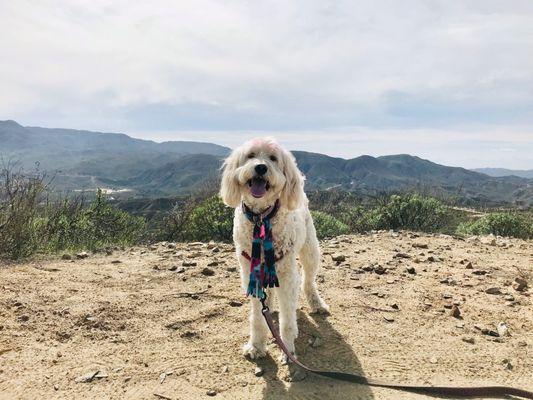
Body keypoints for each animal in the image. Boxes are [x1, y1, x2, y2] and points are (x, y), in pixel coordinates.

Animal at [217, 137, 326, 360]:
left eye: (274, 158)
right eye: (250, 155)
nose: (260, 167)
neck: (261, 218)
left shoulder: (286, 274)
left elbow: (288, 319)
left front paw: (288, 349)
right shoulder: (250, 271)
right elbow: (257, 317)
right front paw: (256, 346)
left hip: (310, 250)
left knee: (308, 281)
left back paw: (317, 304)